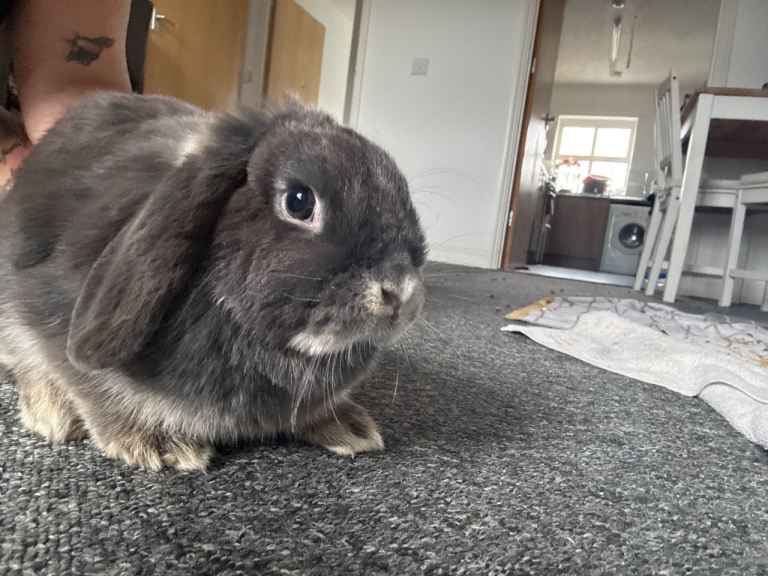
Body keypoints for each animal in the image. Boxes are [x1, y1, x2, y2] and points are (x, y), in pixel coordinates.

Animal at [0, 92, 427, 470]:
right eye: (299, 201)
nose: (400, 294)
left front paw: (351, 428)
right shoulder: (45, 316)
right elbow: (90, 385)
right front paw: (159, 445)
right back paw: (51, 414)